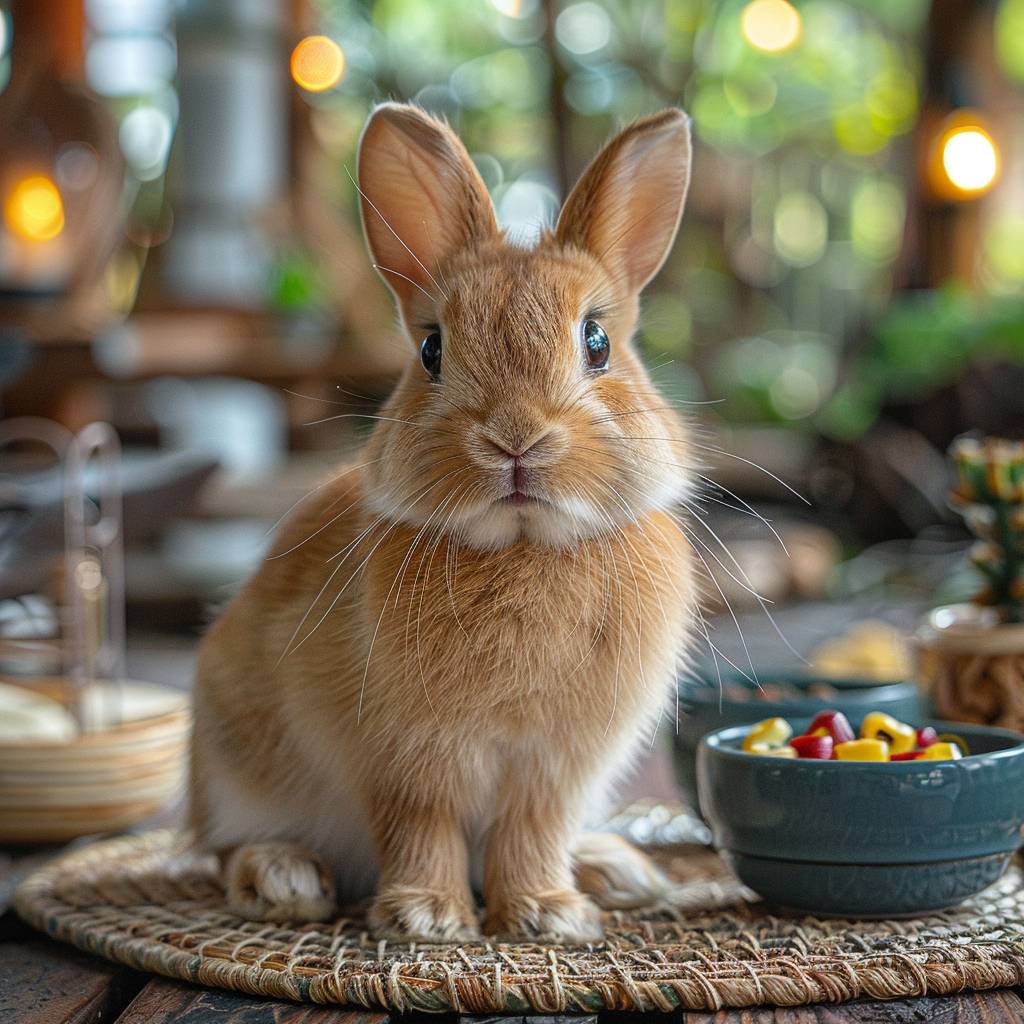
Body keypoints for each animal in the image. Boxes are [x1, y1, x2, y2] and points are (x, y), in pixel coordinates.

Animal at [188, 103, 700, 942]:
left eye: (597, 342)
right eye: (432, 349)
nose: (516, 438)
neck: (524, 549)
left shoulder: (553, 772)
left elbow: (532, 833)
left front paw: (547, 915)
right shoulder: (406, 762)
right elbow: (420, 826)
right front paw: (428, 918)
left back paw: (611, 870)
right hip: (234, 756)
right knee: (219, 849)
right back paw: (282, 877)